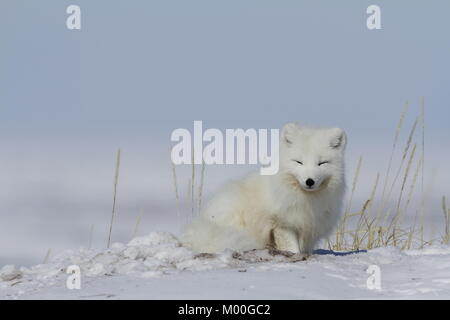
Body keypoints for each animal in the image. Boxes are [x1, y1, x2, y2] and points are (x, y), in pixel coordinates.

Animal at [180, 124, 348, 256]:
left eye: (322, 163)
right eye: (299, 162)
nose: (309, 181)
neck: (306, 200)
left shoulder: (310, 227)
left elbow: (305, 248)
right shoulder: (281, 224)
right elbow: (292, 248)